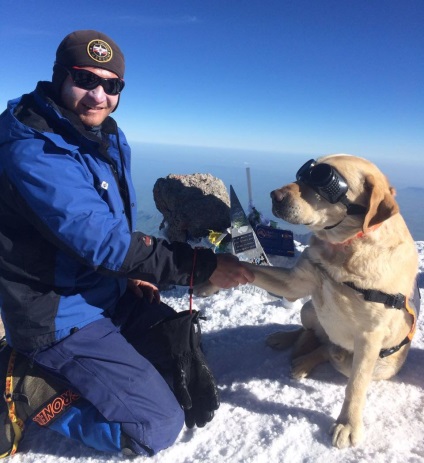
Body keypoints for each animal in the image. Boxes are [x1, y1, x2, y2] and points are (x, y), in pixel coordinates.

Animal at [238, 155, 420, 450]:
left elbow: (356, 386)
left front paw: (348, 424)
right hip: (308, 307)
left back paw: (307, 359)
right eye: (303, 173)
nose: (274, 195)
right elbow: (249, 268)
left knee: (329, 352)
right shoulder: (294, 283)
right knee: (311, 333)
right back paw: (287, 341)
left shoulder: (369, 337)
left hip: (378, 363)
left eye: (324, 178)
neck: (345, 248)